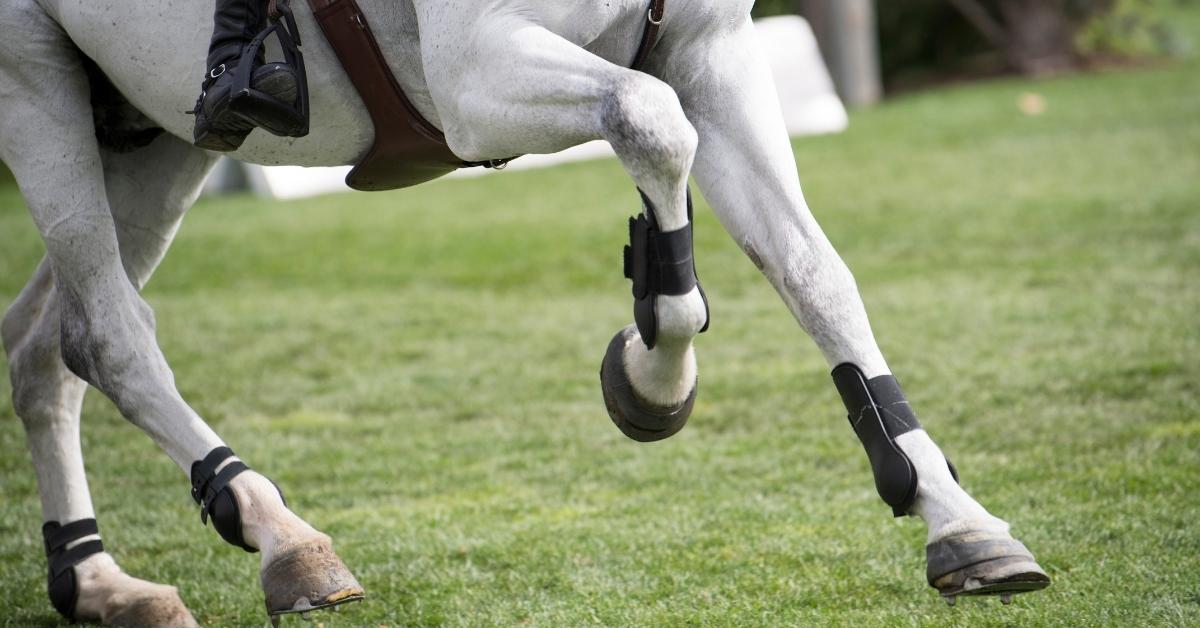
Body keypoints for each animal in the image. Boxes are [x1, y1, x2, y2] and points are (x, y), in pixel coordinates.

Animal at [0, 0, 1050, 624]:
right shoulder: (477, 70)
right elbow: (650, 122)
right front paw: (652, 375)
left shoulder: (709, 48)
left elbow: (813, 274)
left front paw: (955, 517)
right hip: (33, 78)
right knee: (108, 336)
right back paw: (280, 535)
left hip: (158, 131)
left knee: (48, 348)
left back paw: (98, 582)